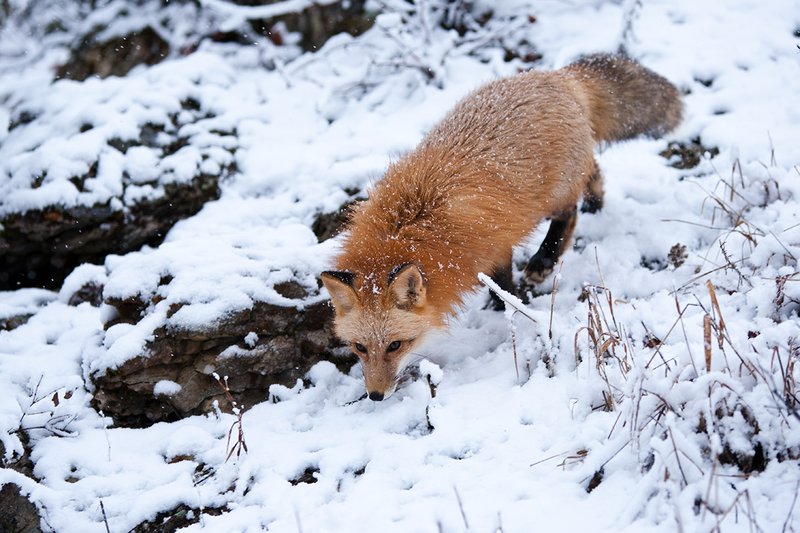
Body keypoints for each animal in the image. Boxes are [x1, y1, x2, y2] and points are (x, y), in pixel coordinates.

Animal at [321, 54, 682, 401]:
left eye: (395, 345)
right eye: (360, 347)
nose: (375, 396)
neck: (406, 230)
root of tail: (558, 76)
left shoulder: (493, 244)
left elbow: (503, 283)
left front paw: (507, 307)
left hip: (554, 194)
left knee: (569, 213)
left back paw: (545, 258)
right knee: (594, 169)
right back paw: (597, 199)